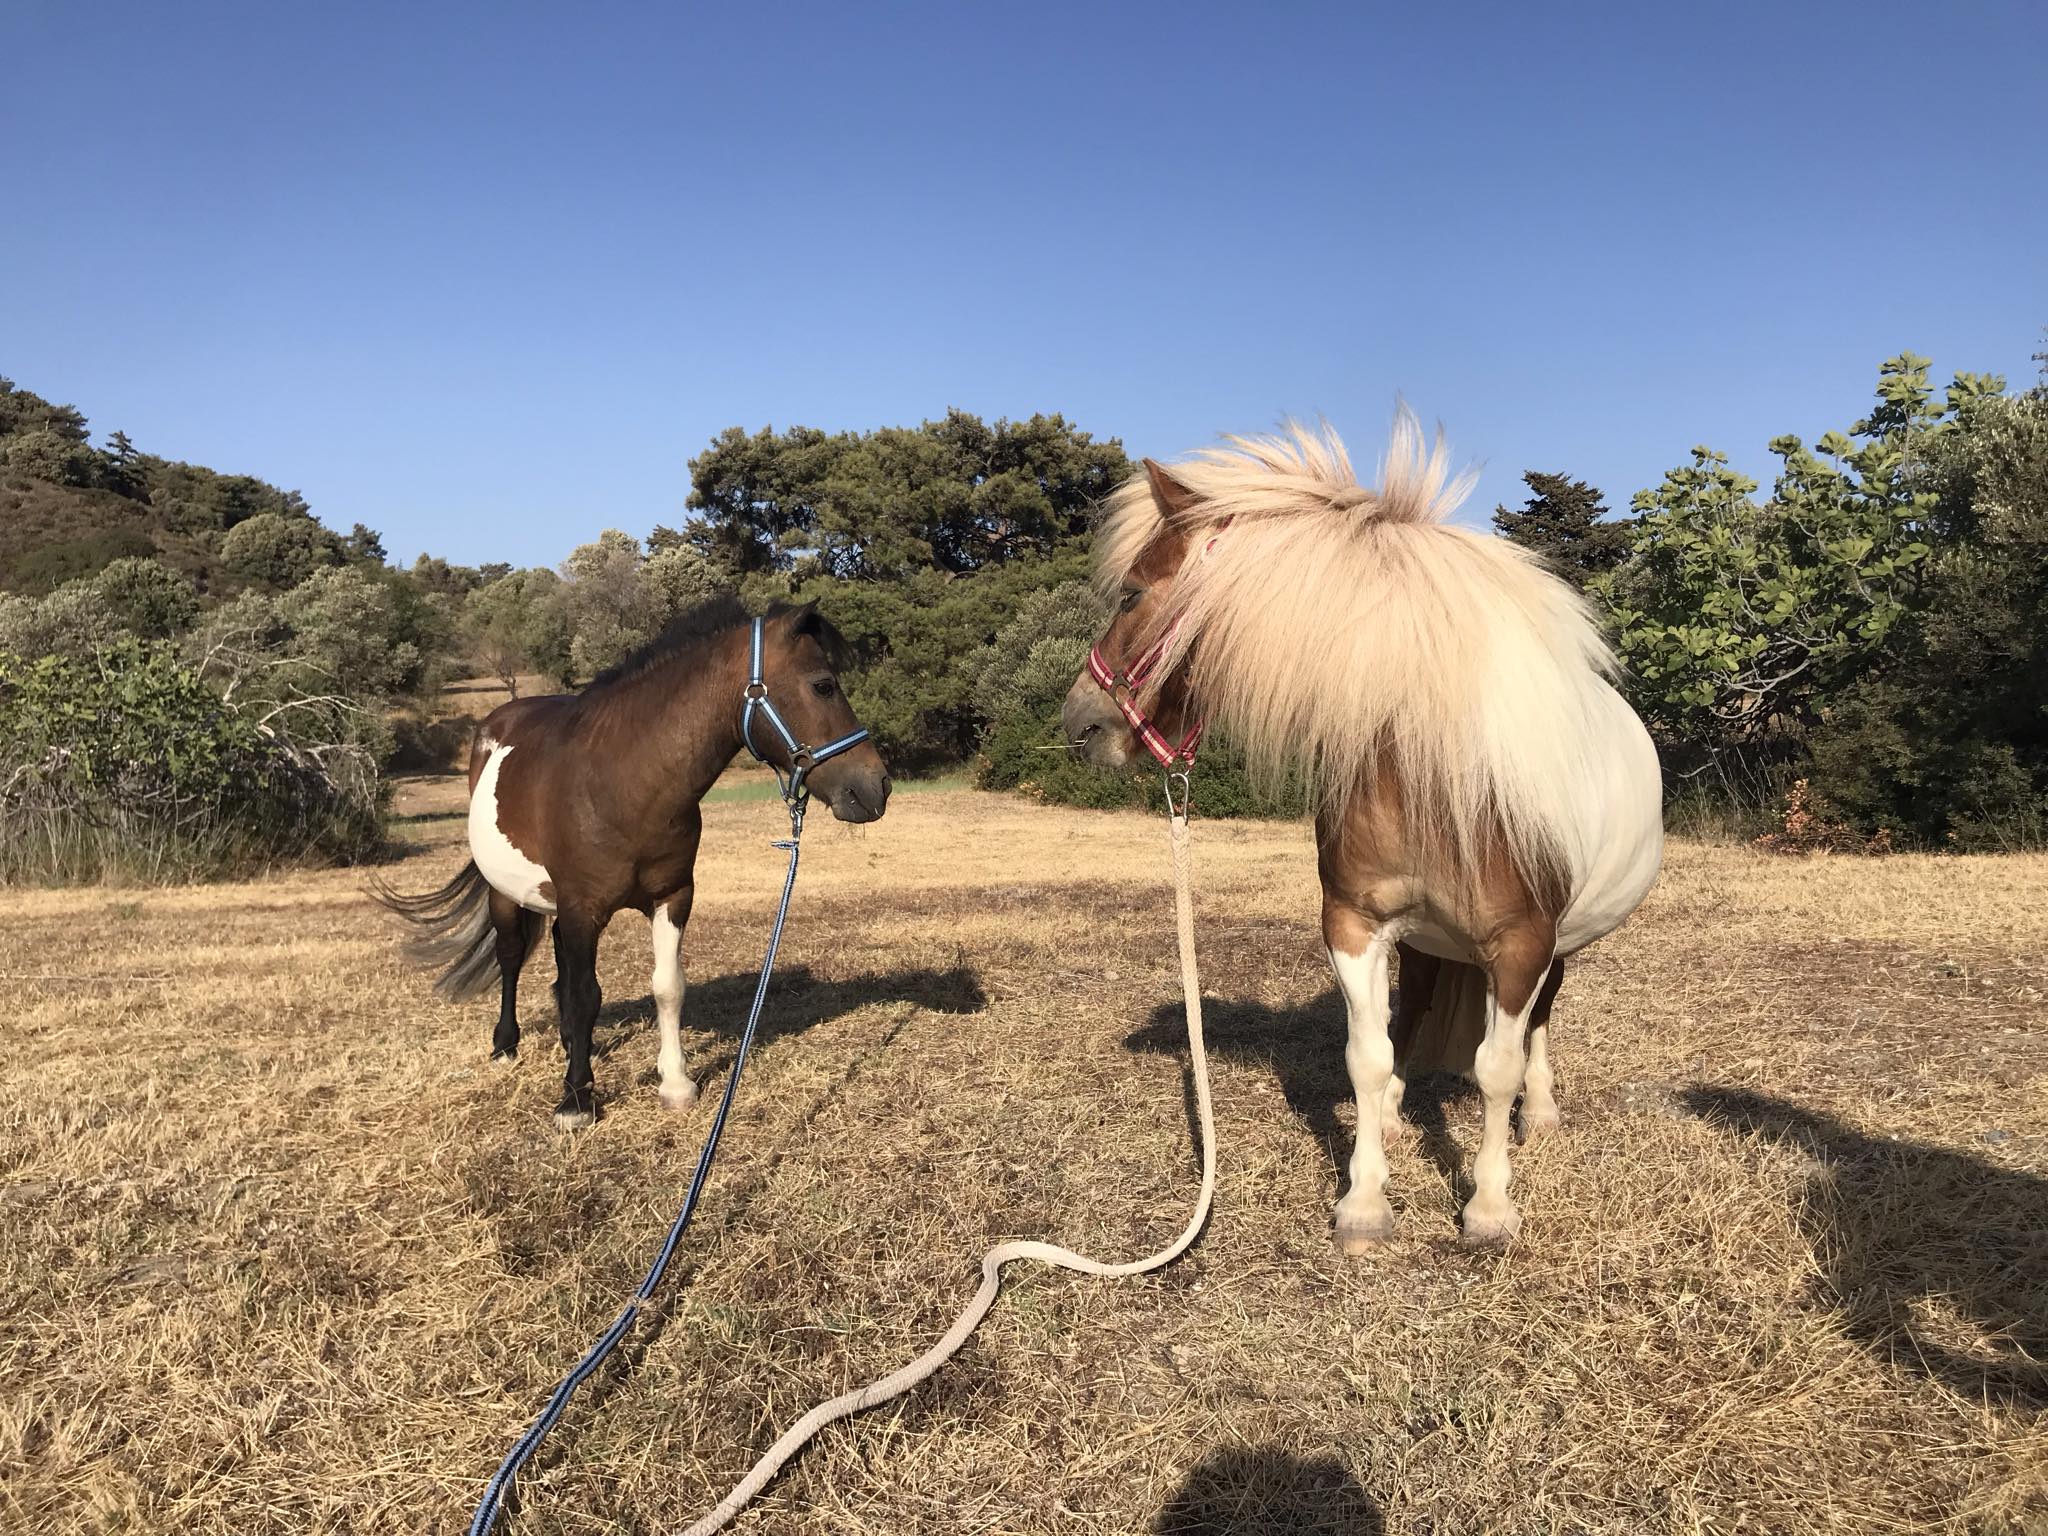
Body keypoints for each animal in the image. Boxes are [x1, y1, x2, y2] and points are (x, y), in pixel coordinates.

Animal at [376, 598, 888, 1130]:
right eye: (823, 685)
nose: (877, 786)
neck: (624, 783)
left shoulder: (672, 897)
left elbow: (666, 987)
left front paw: (676, 1084)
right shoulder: (583, 908)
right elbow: (585, 994)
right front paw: (575, 1099)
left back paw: (571, 1044)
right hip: (506, 894)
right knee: (512, 956)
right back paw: (506, 1046)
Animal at [1073, 421, 1662, 1253]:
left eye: (1131, 592)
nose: (1081, 724)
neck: (1431, 773)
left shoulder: (1522, 943)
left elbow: (1497, 1067)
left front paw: (1488, 1208)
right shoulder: (1354, 924)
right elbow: (1367, 1054)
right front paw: (1363, 1199)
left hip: (1560, 943)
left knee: (1540, 1020)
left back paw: (1540, 1114)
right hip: (1423, 941)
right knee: (1411, 1014)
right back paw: (1391, 1114)